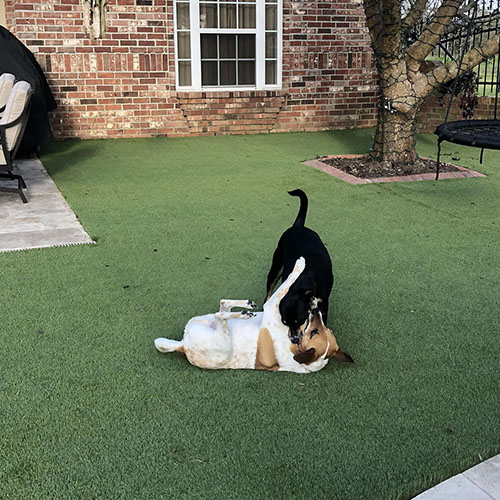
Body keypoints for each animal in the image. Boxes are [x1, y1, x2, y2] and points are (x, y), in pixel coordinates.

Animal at [154, 258, 354, 372]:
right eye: (325, 330)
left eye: (314, 333)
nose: (316, 311)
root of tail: (183, 346)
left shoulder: (273, 308)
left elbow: (285, 285)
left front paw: (300, 264)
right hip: (205, 319)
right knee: (222, 306)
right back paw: (246, 306)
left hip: (223, 342)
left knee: (221, 315)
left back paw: (244, 314)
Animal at [264, 190, 334, 344]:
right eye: (284, 322)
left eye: (299, 320)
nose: (294, 340)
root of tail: (298, 226)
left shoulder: (324, 305)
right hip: (276, 267)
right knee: (268, 294)